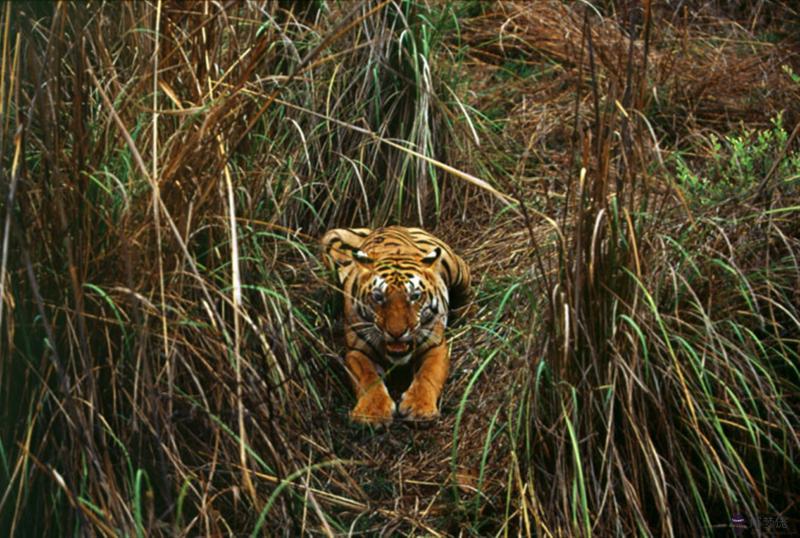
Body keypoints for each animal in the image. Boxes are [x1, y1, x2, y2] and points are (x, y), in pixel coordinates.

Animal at [322, 225, 472, 422]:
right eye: (378, 297)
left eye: (414, 296)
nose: (396, 333)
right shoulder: (357, 351)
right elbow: (367, 378)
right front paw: (371, 413)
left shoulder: (435, 346)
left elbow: (428, 375)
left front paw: (419, 408)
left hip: (456, 268)